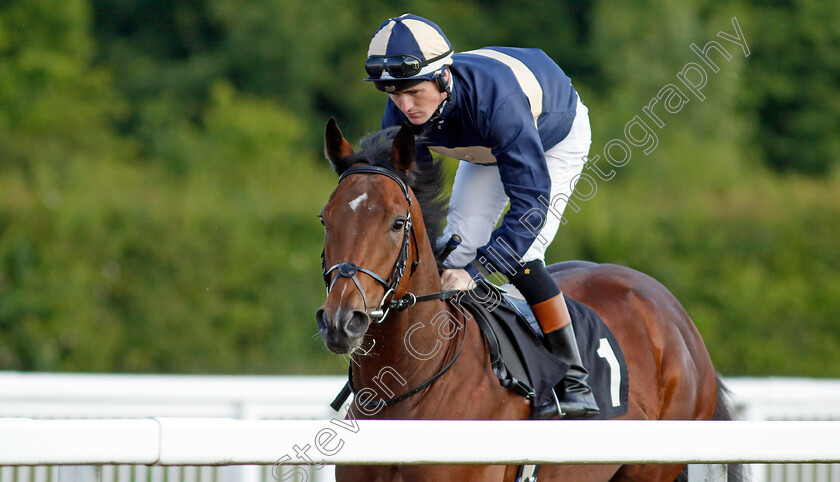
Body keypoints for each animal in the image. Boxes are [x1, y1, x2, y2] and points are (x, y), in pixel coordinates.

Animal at [316, 117, 740, 482]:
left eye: (397, 223)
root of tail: (677, 317)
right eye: (326, 218)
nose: (342, 320)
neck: (410, 385)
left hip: (650, 469)